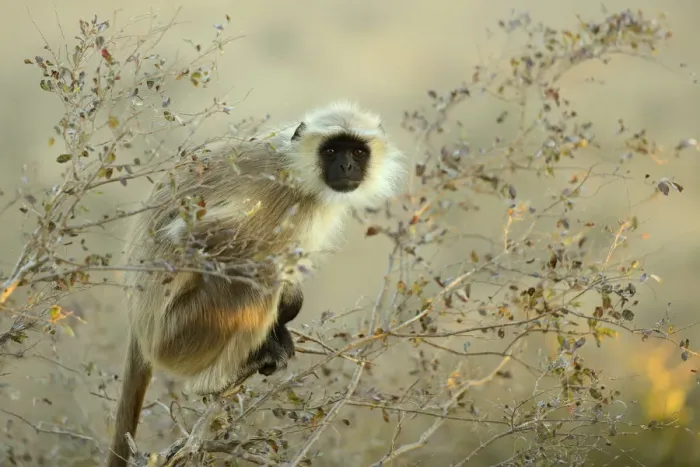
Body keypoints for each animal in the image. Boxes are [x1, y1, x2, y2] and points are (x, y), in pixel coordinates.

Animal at [106, 100, 406, 466]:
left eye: (358, 152)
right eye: (332, 150)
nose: (346, 165)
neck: (295, 167)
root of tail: (140, 329)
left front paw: (285, 315)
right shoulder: (280, 196)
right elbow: (189, 236)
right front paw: (287, 304)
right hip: (179, 334)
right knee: (255, 279)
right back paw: (214, 381)